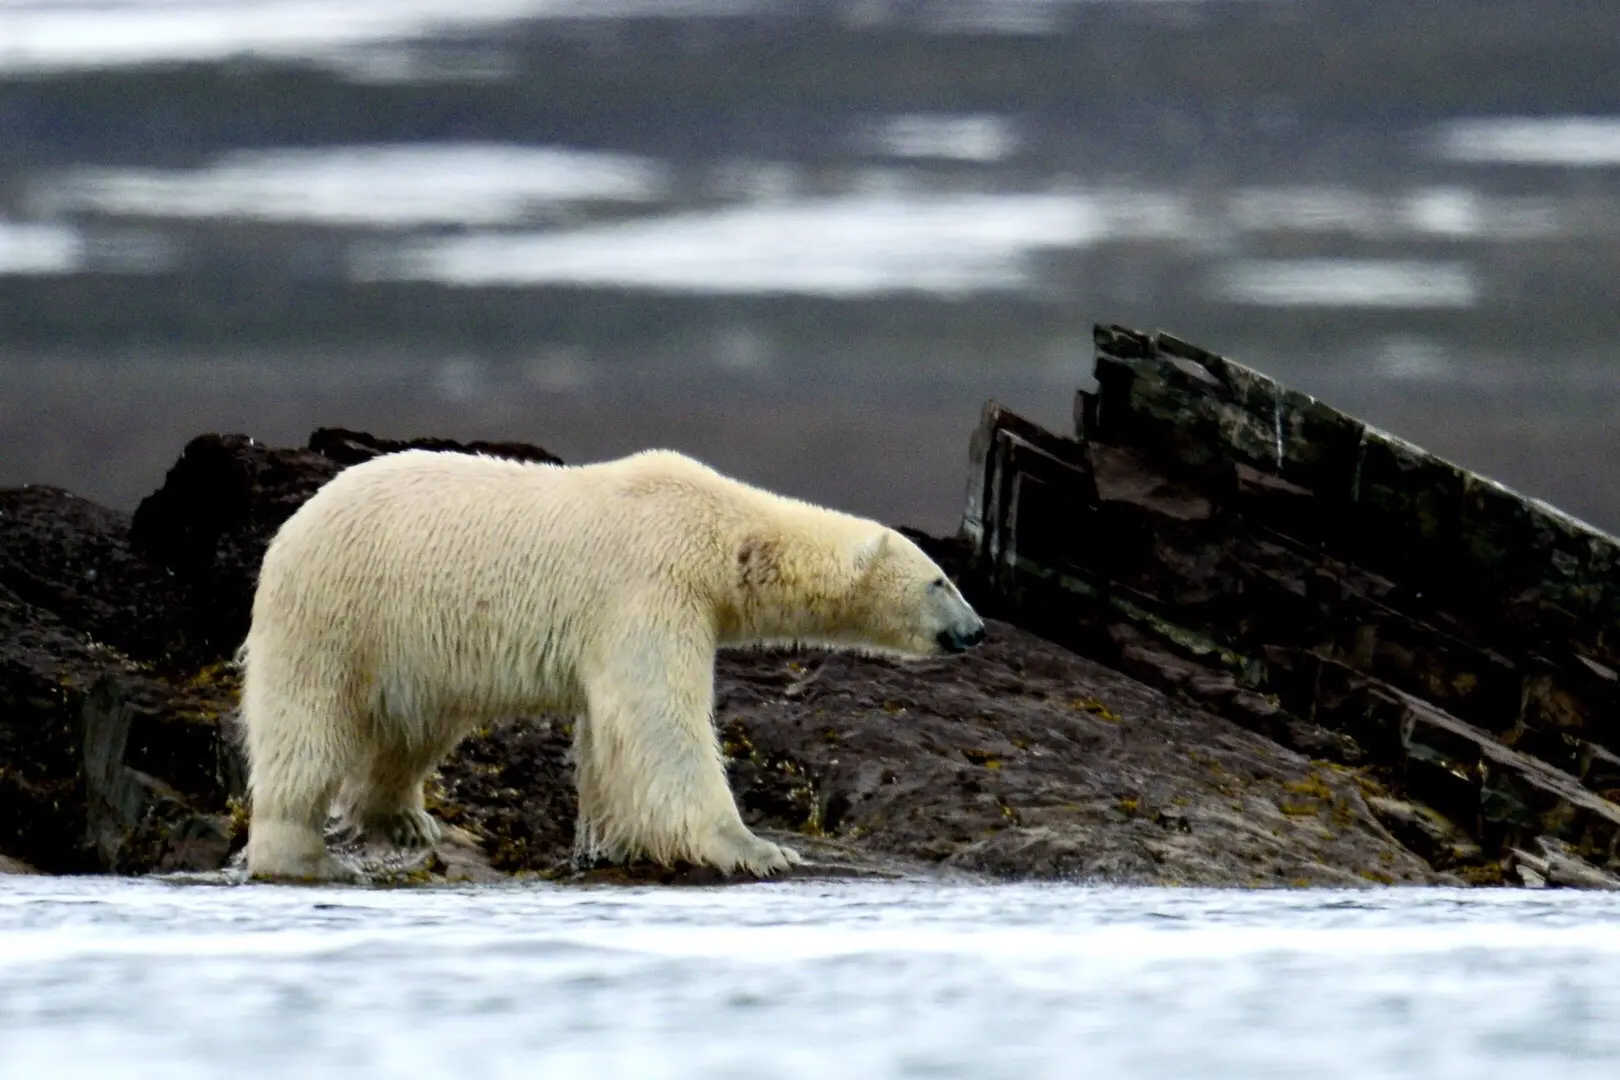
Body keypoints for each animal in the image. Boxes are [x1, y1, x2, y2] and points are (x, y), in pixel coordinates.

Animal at [234, 446, 978, 880]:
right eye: (940, 580)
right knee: (307, 730)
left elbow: (610, 734)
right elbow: (660, 722)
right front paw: (759, 849)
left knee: (412, 731)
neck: (723, 533)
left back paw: (404, 818)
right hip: (340, 614)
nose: (974, 630)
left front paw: (614, 843)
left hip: (412, 648)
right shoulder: (654, 582)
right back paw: (304, 857)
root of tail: (291, 527)